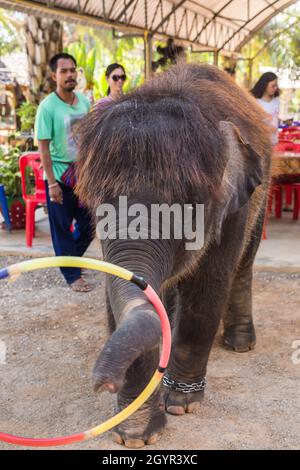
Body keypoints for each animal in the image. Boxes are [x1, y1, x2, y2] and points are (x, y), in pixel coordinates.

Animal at [76, 63, 274, 448]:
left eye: (187, 204)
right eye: (98, 201)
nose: (102, 382)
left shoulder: (234, 208)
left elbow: (207, 290)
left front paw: (181, 404)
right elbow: (121, 301)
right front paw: (134, 434)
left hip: (262, 194)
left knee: (242, 267)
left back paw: (240, 343)